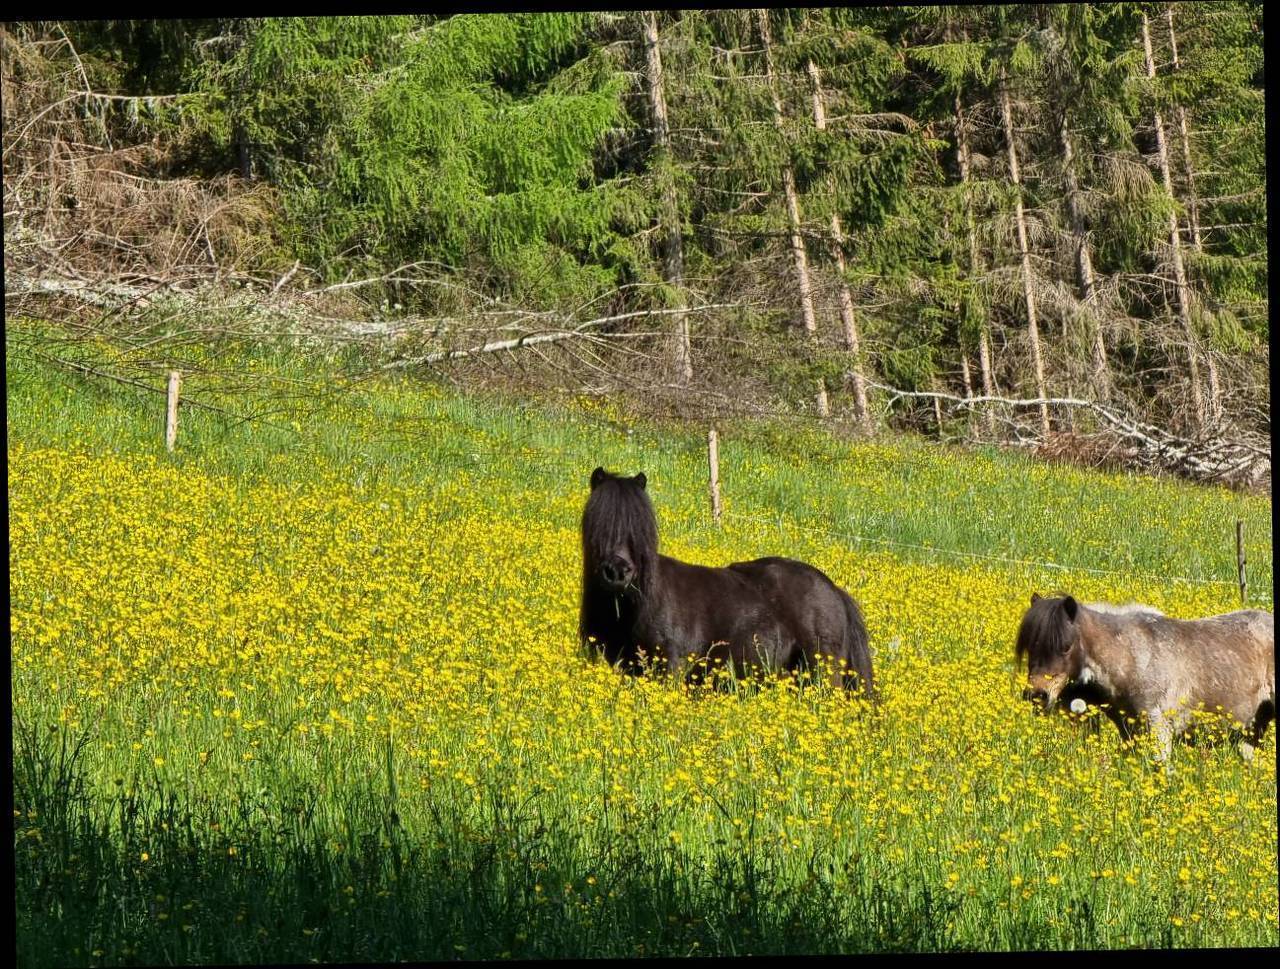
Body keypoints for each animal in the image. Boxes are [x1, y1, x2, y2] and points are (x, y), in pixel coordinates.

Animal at [578, 465, 870, 696]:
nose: (617, 572)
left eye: (638, 528)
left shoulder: (670, 668)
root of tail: (833, 590)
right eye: (598, 523)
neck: (639, 603)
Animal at [1013, 593, 1274, 757]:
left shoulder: (1159, 729)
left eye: (1066, 646)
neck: (1133, 658)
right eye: (1030, 647)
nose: (1037, 695)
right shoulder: (1129, 732)